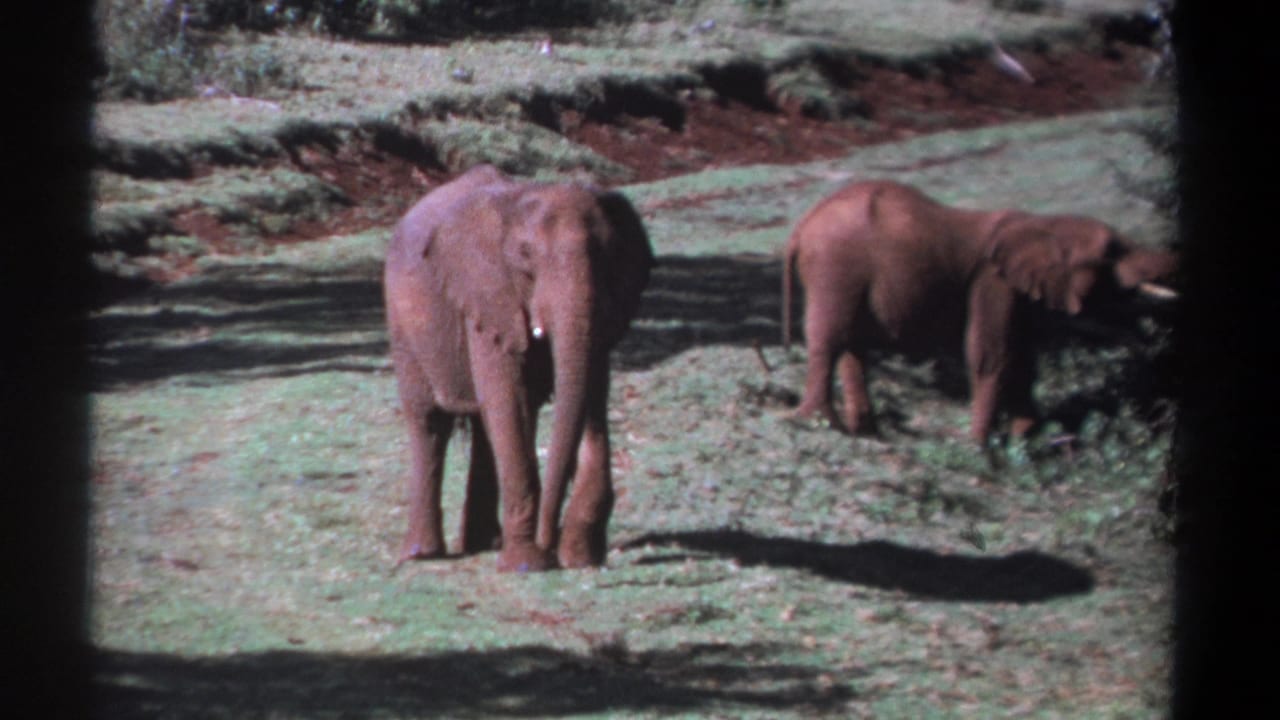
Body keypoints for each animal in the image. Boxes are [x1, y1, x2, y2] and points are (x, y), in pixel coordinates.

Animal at [383, 164, 653, 571]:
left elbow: (591, 393)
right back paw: (422, 555)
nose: (550, 539)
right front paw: (528, 564)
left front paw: (580, 556)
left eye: (608, 254)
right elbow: (510, 400)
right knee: (430, 422)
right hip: (404, 328)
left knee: (482, 427)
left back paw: (484, 543)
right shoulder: (487, 296)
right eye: (525, 255)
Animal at [781, 179, 1177, 443]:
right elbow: (992, 355)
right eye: (1112, 252)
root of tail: (802, 226)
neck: (1041, 224)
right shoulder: (993, 283)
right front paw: (982, 449)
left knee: (852, 346)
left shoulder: (1019, 295)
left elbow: (1023, 359)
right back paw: (820, 423)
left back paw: (866, 433)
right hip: (836, 265)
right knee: (830, 339)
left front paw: (1026, 442)